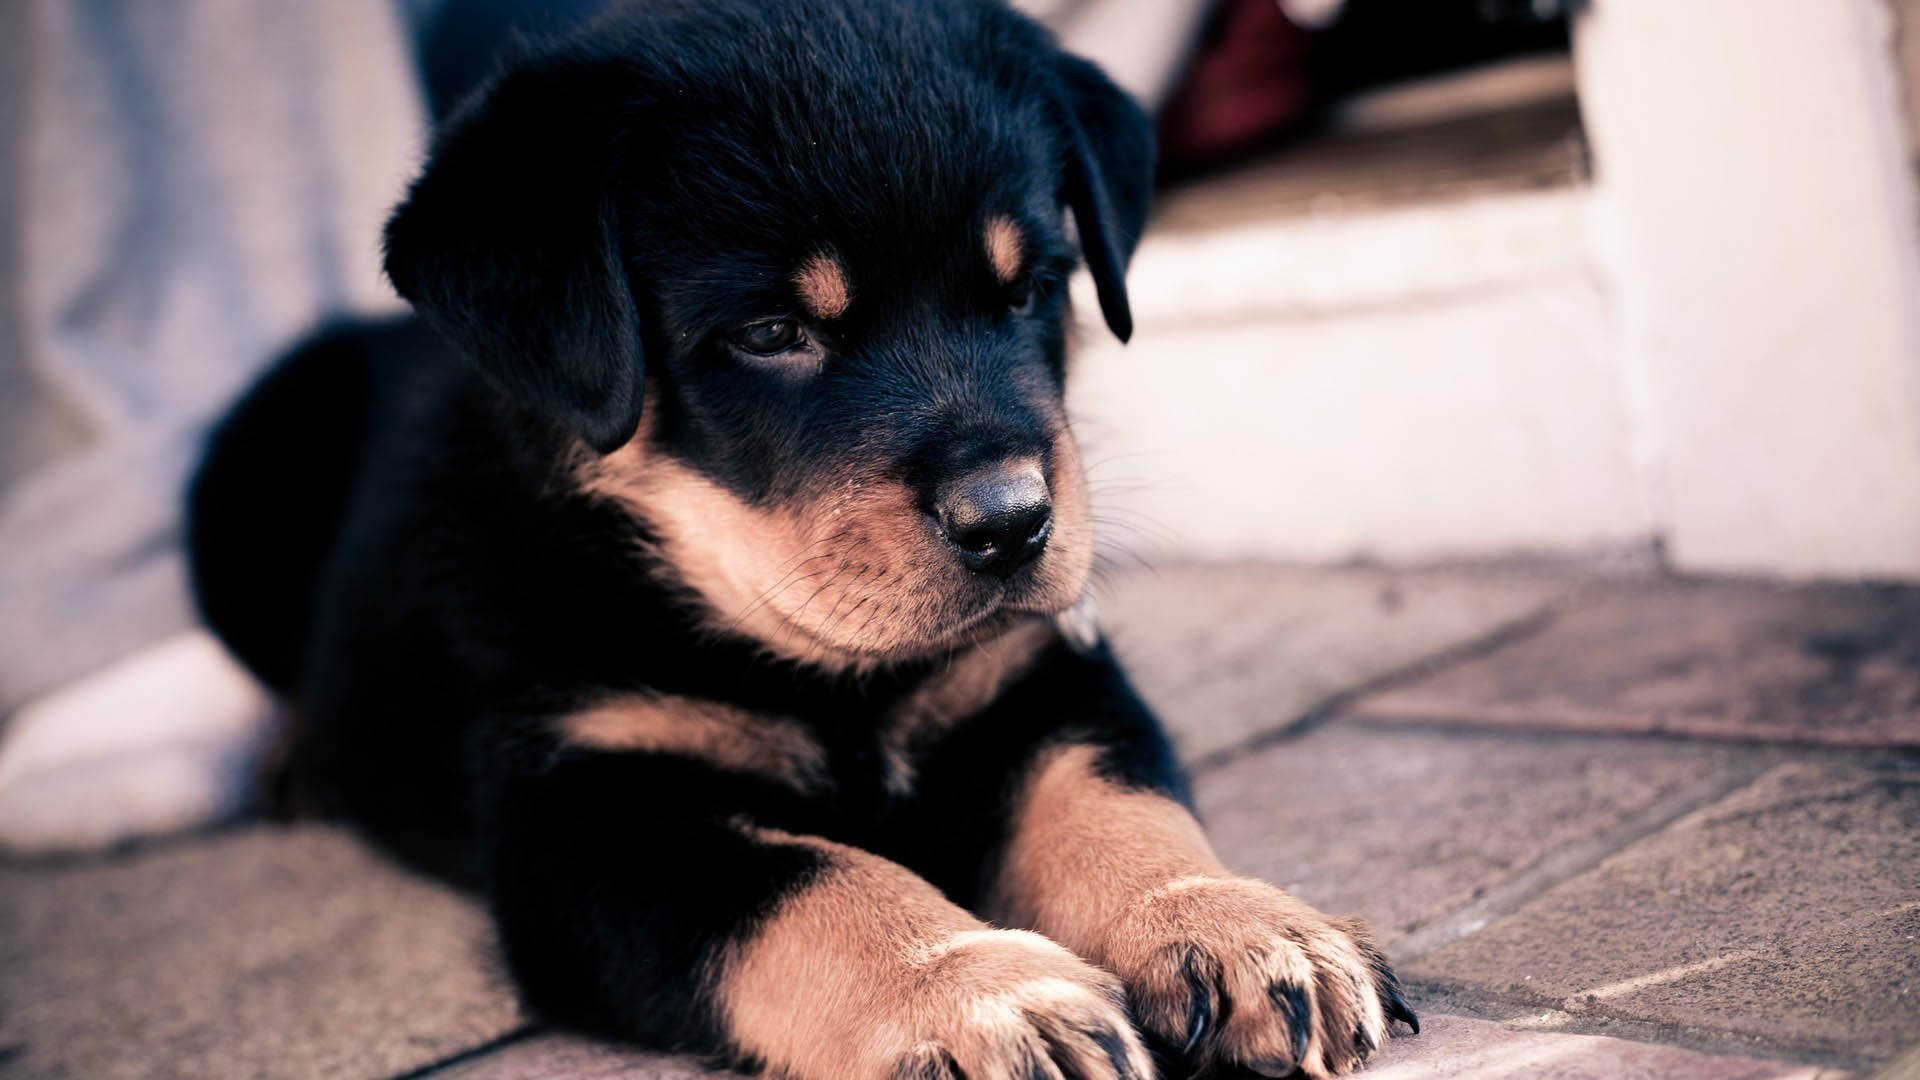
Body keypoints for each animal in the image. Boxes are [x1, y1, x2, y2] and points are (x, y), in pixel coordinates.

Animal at [187, 2, 1420, 1076]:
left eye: (1032, 288)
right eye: (772, 331)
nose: (1012, 520)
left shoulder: (1042, 674)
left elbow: (1118, 804)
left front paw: (1237, 926)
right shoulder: (581, 815)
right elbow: (813, 883)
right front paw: (979, 993)